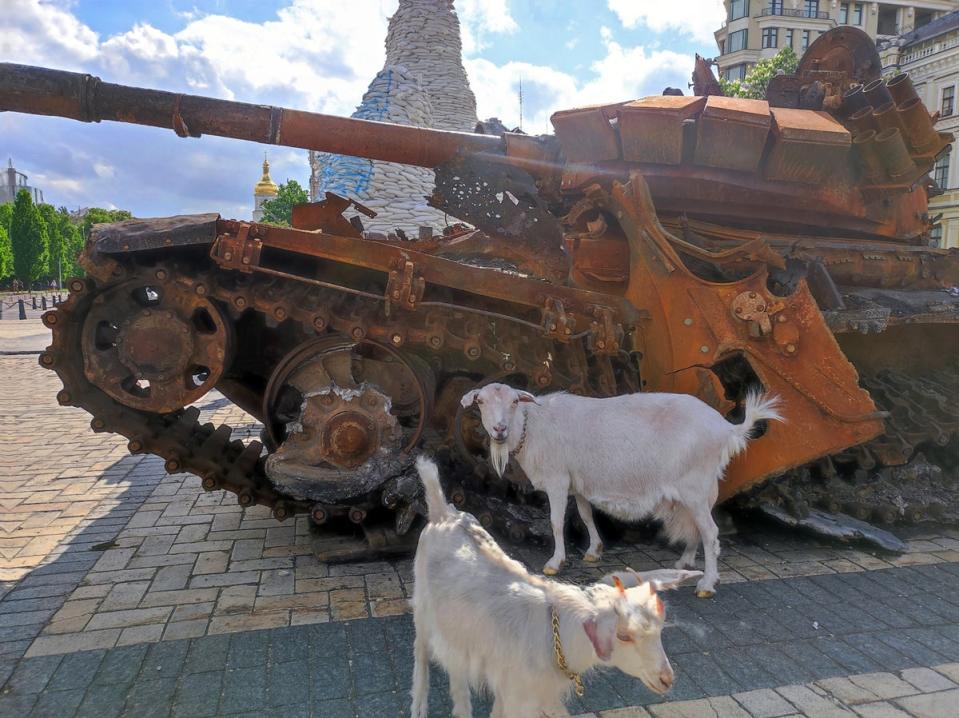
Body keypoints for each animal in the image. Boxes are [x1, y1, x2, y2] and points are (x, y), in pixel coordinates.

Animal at [410, 458, 696, 716]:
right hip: (422, 607)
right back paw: (419, 707)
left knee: (455, 668)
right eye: (623, 635)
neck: (559, 637)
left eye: (660, 629)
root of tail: (443, 512)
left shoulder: (524, 693)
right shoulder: (518, 695)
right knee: (421, 652)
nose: (666, 680)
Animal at [462, 386, 784, 600]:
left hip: (695, 485)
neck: (533, 426)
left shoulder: (557, 479)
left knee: (710, 532)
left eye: (515, 401)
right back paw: (685, 562)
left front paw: (555, 563)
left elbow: (556, 522)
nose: (499, 429)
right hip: (696, 490)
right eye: (481, 401)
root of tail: (726, 429)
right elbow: (586, 514)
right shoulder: (579, 482)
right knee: (697, 528)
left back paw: (706, 584)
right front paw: (594, 551)